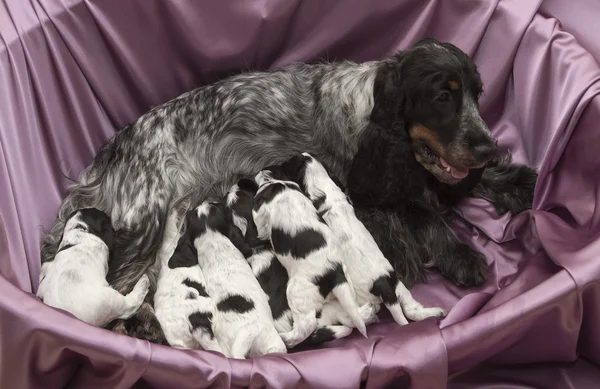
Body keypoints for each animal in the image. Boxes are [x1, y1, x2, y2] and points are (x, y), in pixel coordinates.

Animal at [280, 152, 446, 324]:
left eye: (290, 162)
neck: (323, 185)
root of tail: (383, 284)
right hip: (400, 288)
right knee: (411, 310)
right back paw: (436, 312)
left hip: (364, 297)